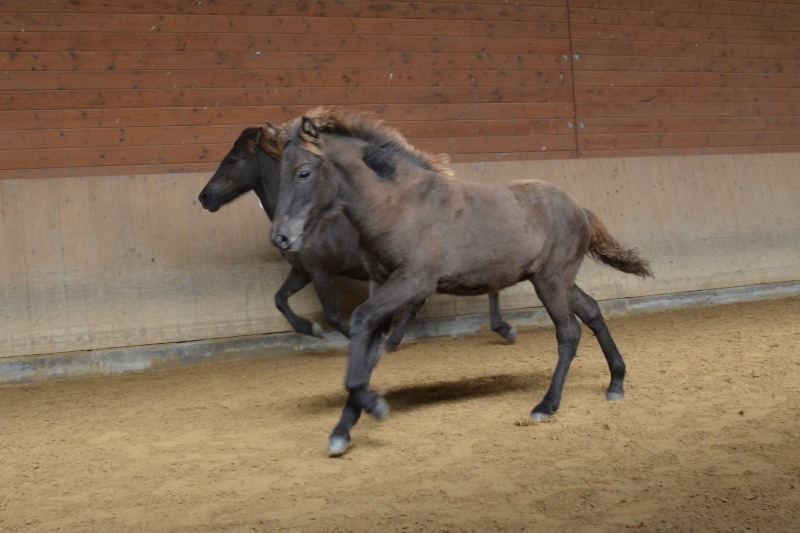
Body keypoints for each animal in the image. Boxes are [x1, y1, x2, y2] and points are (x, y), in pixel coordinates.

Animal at [197, 126, 515, 350]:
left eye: (232, 160)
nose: (204, 197)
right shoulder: (302, 272)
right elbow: (280, 300)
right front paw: (309, 329)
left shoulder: (323, 272)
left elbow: (333, 316)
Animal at [270, 108, 653, 456]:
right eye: (281, 172)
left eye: (303, 172)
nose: (281, 237)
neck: (398, 205)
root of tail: (579, 209)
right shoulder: (380, 283)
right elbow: (367, 347)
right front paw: (342, 431)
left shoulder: (413, 283)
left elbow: (362, 324)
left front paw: (375, 405)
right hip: (558, 281)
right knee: (592, 312)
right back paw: (616, 382)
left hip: (551, 282)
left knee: (569, 332)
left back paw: (546, 405)